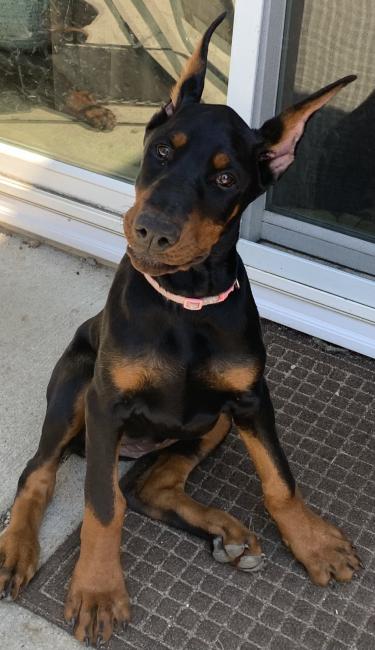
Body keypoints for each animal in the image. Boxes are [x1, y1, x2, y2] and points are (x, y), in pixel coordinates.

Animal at [0, 12, 362, 644]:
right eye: (162, 150)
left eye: (226, 180)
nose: (152, 230)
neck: (185, 303)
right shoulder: (107, 402)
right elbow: (102, 505)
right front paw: (98, 589)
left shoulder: (251, 398)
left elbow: (279, 479)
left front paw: (313, 542)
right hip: (74, 388)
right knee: (39, 474)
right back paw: (15, 549)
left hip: (211, 419)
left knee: (151, 486)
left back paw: (225, 533)